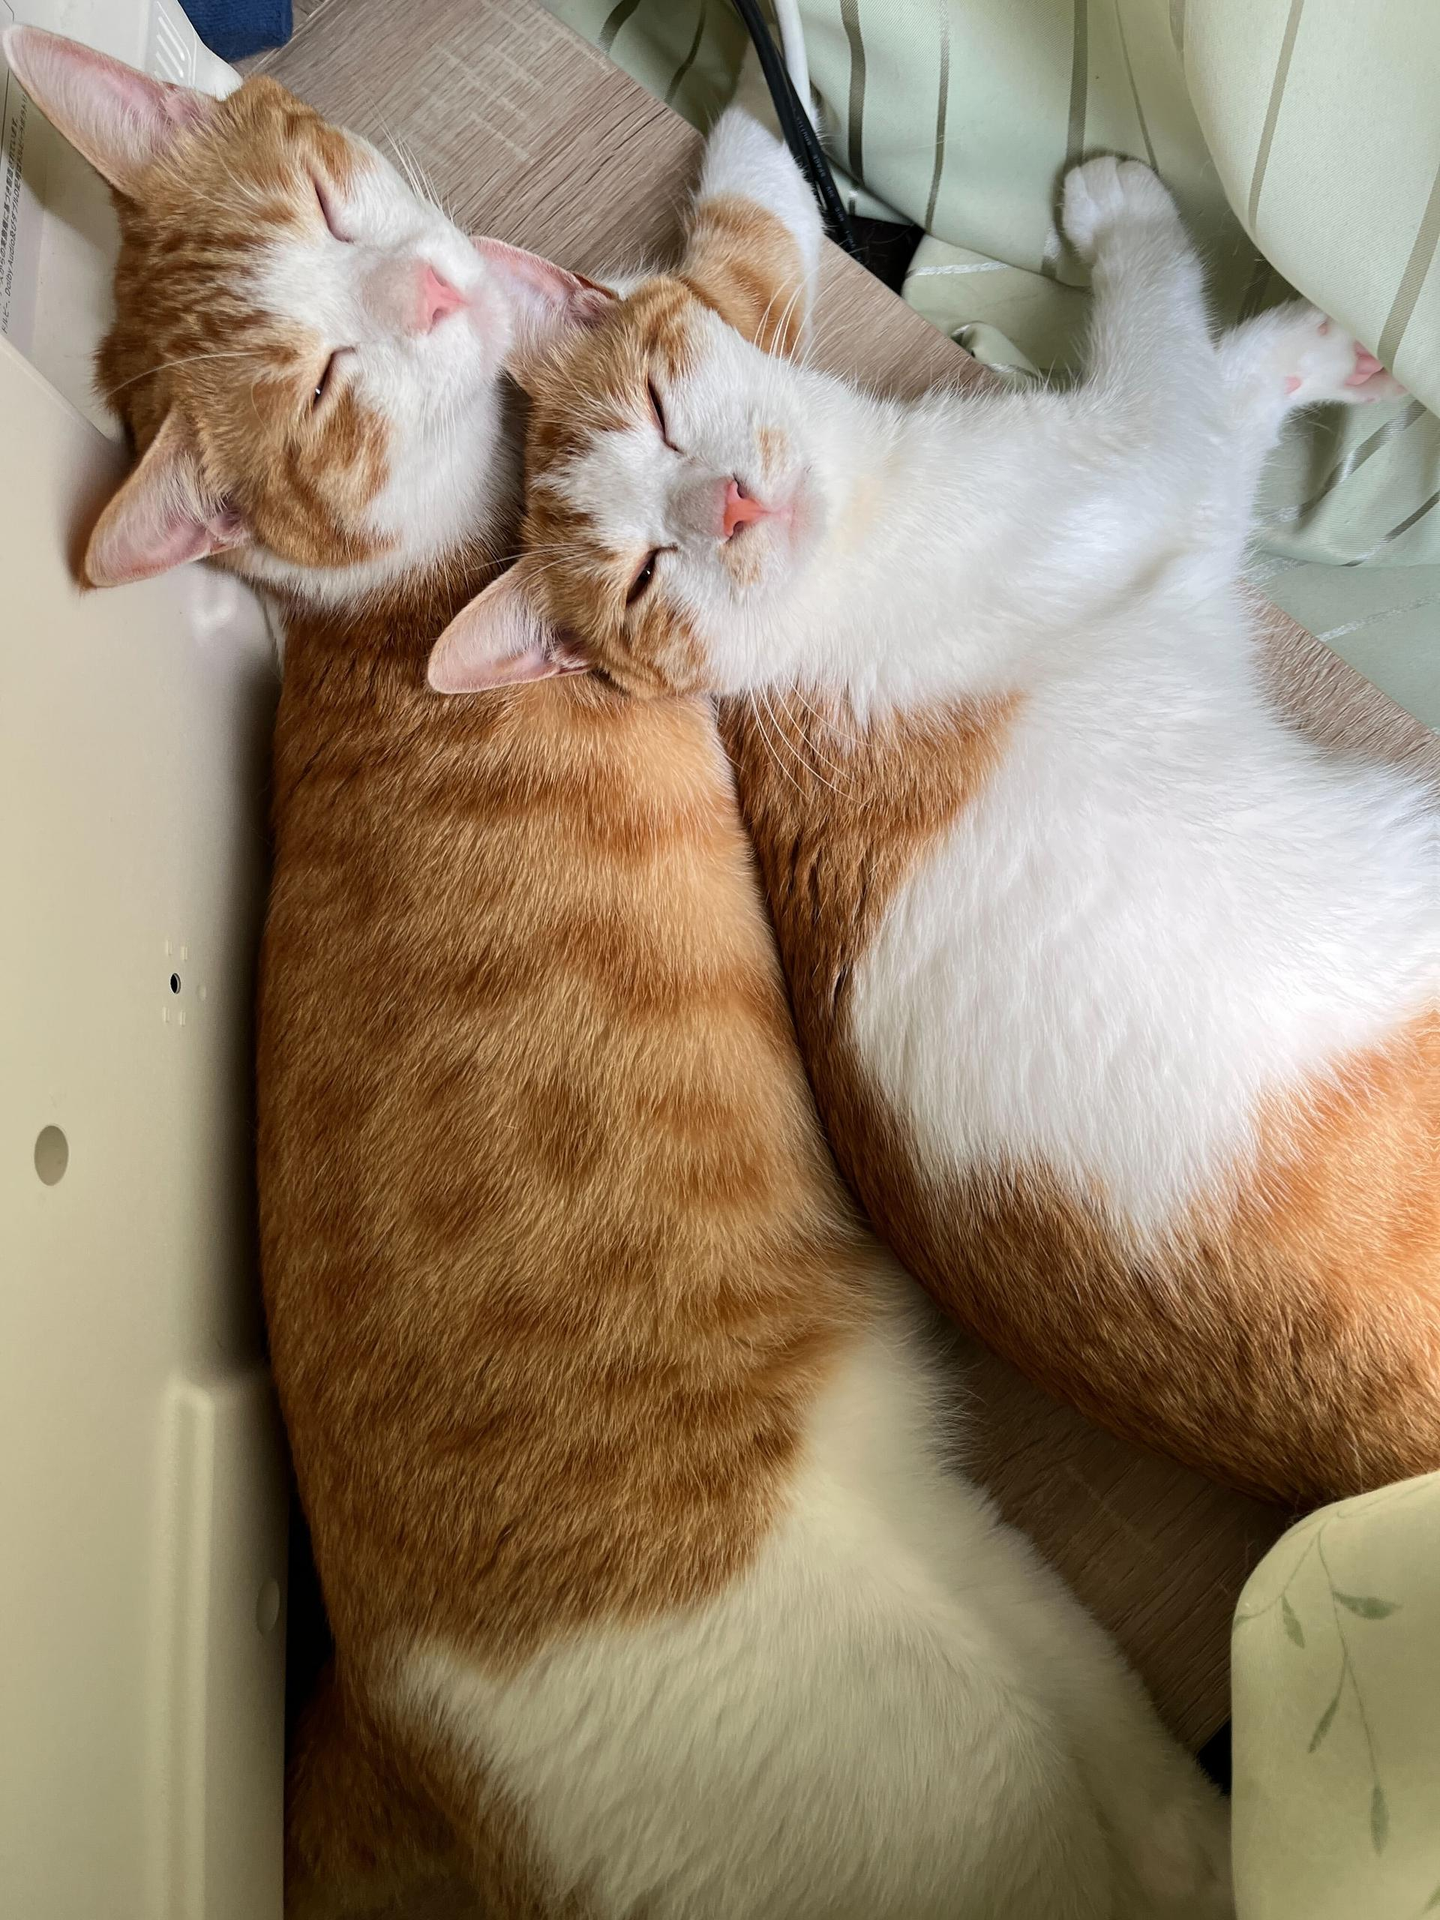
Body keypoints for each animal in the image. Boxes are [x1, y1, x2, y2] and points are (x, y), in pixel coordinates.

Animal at [13, 30, 1232, 1917]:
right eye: (326, 391)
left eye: (329, 204)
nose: (435, 286)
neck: (382, 584)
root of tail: (387, 1746)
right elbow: (750, 235)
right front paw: (763, 116)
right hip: (943, 1745)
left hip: (1003, 1589)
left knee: (1140, 1781)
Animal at [432, 118, 1439, 1516]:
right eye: (641, 576)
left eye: (660, 415)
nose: (726, 510)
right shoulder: (1138, 448)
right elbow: (1170, 330)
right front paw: (1133, 217)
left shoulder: (1166, 486)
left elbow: (1228, 388)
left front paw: (1327, 347)